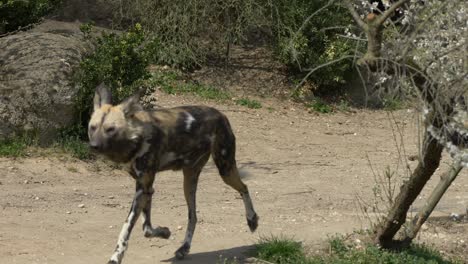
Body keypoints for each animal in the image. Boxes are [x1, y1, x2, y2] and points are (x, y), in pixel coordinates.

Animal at [88, 83, 260, 262]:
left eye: (110, 129)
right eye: (93, 127)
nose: (93, 146)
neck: (136, 137)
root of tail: (221, 114)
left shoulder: (143, 188)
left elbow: (127, 227)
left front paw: (116, 257)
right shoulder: (146, 188)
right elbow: (147, 228)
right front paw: (163, 232)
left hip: (225, 169)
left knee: (244, 188)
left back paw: (252, 220)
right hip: (189, 181)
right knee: (193, 216)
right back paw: (184, 248)